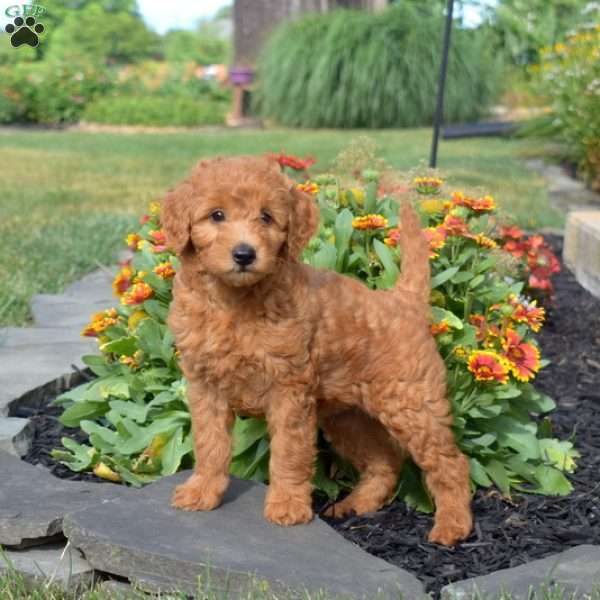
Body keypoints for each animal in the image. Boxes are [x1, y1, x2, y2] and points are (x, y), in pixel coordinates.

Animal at [162, 157, 472, 548]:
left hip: (412, 404)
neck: (235, 302)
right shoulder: (205, 388)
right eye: (216, 215)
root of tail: (403, 299)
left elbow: (289, 453)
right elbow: (210, 444)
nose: (244, 254)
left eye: (266, 217)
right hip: (347, 416)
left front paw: (288, 506)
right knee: (384, 461)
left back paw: (452, 526)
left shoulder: (289, 390)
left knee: (450, 463)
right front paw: (202, 491)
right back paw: (356, 505)